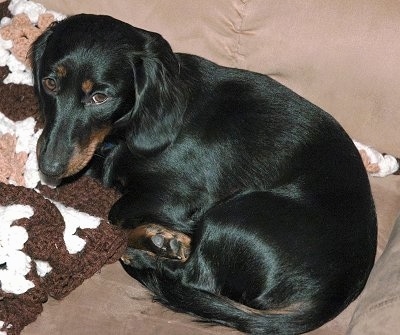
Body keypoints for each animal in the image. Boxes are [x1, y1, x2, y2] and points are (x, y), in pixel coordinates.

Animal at [30, 14, 376, 335]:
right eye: (49, 83)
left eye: (99, 97)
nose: (48, 169)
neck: (127, 129)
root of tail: (332, 297)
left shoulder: (177, 194)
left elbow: (115, 214)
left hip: (233, 217)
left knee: (192, 277)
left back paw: (151, 251)